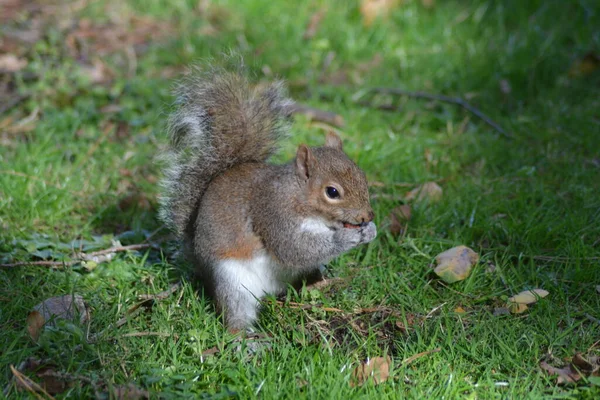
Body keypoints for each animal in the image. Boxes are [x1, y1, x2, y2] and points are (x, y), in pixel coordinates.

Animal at [157, 62, 378, 332]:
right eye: (332, 192)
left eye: (362, 175)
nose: (367, 215)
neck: (300, 200)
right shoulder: (272, 212)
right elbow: (293, 248)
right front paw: (347, 238)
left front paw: (370, 231)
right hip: (232, 281)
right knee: (236, 311)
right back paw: (245, 335)